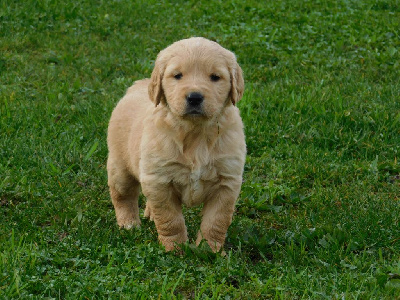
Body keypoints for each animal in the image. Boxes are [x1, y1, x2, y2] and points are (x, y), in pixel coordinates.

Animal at [106, 38, 245, 253]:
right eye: (177, 75)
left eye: (215, 77)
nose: (194, 97)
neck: (195, 134)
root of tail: (138, 84)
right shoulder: (160, 179)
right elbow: (170, 220)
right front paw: (175, 249)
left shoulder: (226, 182)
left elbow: (215, 221)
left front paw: (210, 250)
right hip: (120, 166)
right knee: (122, 195)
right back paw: (129, 224)